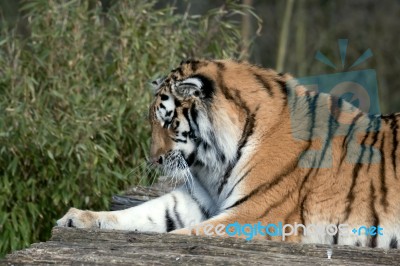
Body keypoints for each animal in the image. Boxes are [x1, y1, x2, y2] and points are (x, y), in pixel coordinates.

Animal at [57, 58, 400, 249]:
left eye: (168, 120)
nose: (154, 160)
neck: (214, 163)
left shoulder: (256, 215)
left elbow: (180, 235)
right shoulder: (197, 199)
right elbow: (143, 214)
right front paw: (77, 218)